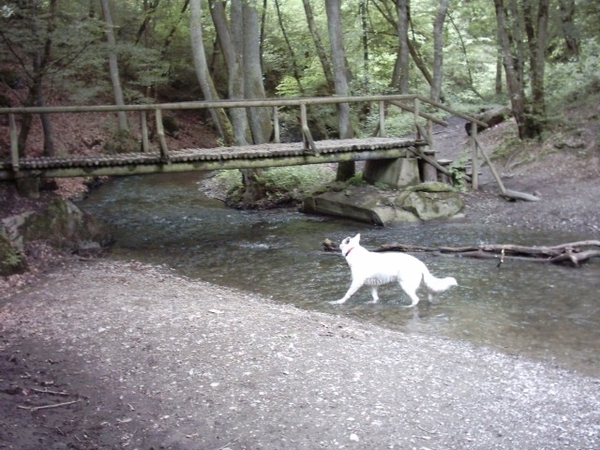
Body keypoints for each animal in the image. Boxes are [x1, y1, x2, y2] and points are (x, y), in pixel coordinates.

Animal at [330, 236, 458, 306]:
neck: (353, 251)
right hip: (421, 284)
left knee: (416, 299)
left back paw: (408, 307)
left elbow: (347, 294)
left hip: (406, 285)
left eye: (341, 242)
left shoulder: (357, 282)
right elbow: (375, 297)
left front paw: (339, 301)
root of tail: (420, 263)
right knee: (429, 293)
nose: (337, 244)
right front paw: (372, 302)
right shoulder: (373, 284)